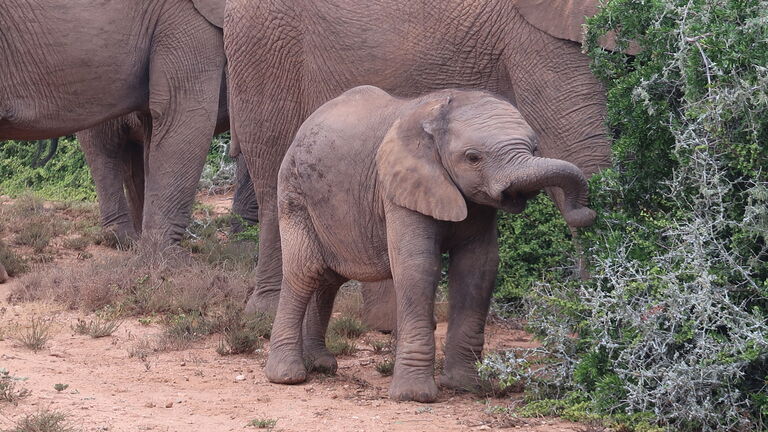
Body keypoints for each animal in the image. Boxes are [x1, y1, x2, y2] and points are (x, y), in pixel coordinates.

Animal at [225, 0, 621, 317]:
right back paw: (264, 313)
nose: (583, 210)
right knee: (271, 166)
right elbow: (581, 149)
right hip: (265, 42)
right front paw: (599, 319)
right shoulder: (537, 33)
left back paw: (382, 323)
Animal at [265, 86, 596, 402]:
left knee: (328, 279)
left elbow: (478, 268)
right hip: (293, 192)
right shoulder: (399, 188)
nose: (586, 213)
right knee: (305, 271)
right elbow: (418, 266)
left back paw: (321, 365)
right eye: (473, 157)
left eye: (535, 148)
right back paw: (287, 376)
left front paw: (466, 386)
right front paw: (414, 396)